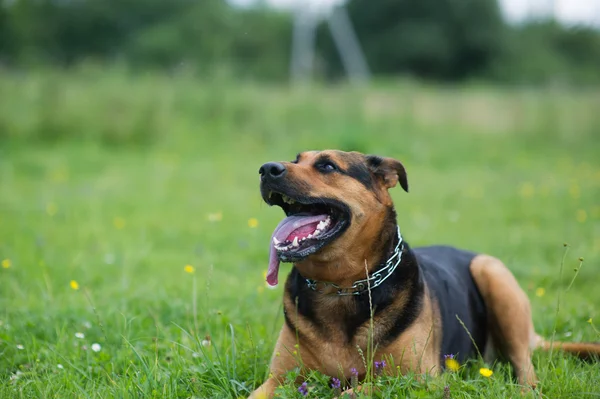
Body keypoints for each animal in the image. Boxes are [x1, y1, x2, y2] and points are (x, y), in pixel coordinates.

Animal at [248, 151, 600, 399]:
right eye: (296, 159)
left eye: (327, 166)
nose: (266, 169)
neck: (340, 287)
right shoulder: (278, 379)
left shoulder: (416, 379)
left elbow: (351, 392)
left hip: (493, 274)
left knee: (526, 368)